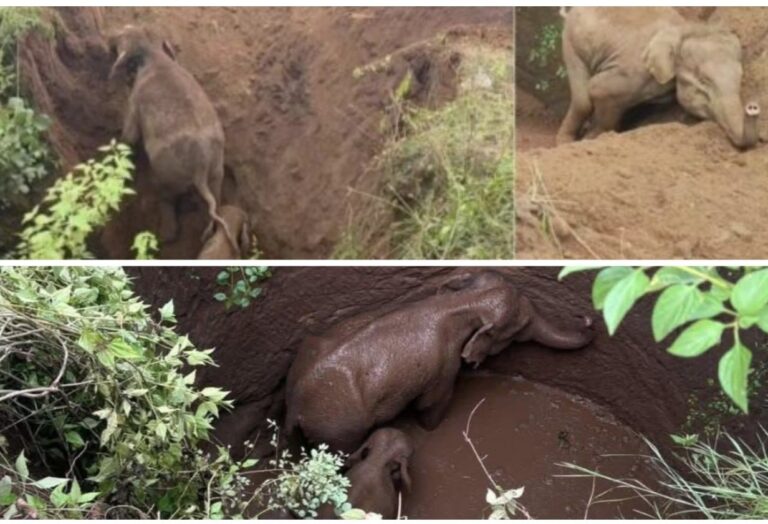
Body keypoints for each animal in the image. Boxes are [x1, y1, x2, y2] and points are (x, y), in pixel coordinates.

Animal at [108, 25, 237, 251]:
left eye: (123, 32)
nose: (108, 38)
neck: (153, 54)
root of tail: (200, 169)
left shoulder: (135, 101)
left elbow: (130, 135)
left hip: (166, 172)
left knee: (166, 196)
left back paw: (165, 236)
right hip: (216, 170)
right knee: (214, 198)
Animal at [285, 271, 595, 453]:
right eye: (521, 328)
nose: (586, 316)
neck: (459, 303)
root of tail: (294, 406)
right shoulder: (442, 366)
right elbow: (431, 404)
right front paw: (430, 429)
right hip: (341, 430)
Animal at [556, 7, 760, 149]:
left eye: (740, 78)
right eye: (704, 81)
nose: (752, 107)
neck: (684, 29)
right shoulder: (633, 72)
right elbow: (597, 89)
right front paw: (590, 139)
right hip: (570, 41)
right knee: (583, 98)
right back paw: (564, 142)